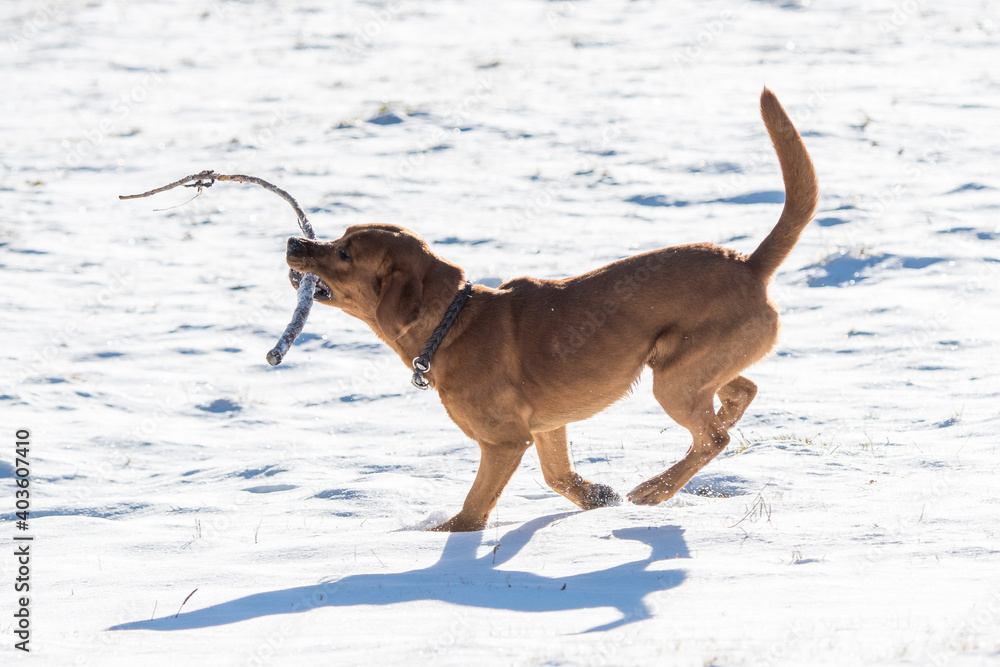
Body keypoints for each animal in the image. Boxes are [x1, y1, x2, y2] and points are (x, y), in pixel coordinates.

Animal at [286, 88, 816, 536]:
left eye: (344, 253)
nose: (295, 241)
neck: (452, 323)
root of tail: (750, 263)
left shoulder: (504, 442)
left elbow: (475, 507)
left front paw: (441, 541)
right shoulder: (548, 427)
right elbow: (558, 476)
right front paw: (597, 497)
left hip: (673, 378)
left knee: (713, 439)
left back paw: (655, 489)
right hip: (684, 366)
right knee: (741, 394)